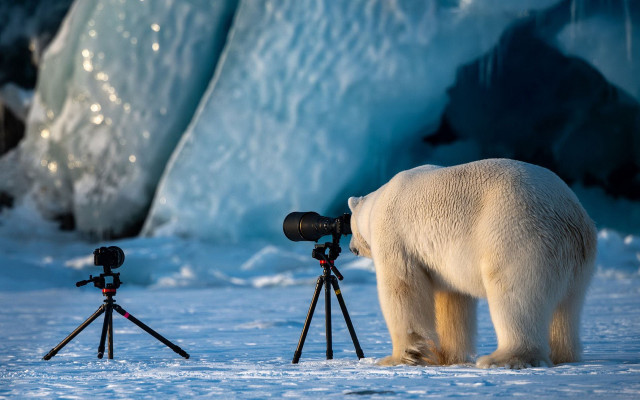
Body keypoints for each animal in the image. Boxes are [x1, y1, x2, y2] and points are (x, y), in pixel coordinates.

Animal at [348, 159, 597, 369]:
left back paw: (501, 358)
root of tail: (570, 215)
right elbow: (452, 300)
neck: (377, 202)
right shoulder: (444, 262)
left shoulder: (395, 237)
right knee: (567, 307)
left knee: (515, 297)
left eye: (349, 226)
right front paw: (446, 357)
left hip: (518, 236)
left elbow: (402, 289)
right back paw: (563, 355)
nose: (351, 248)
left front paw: (398, 358)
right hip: (576, 261)